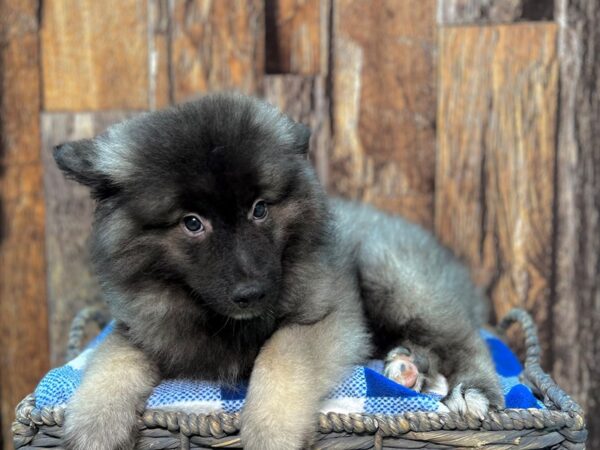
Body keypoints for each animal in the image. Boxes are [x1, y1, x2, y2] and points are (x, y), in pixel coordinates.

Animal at [56, 92, 504, 450]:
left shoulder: (325, 320)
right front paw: (94, 427)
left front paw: (271, 433)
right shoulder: (143, 329)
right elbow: (109, 361)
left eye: (260, 209)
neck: (214, 318)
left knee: (464, 338)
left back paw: (471, 390)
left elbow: (280, 357)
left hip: (392, 274)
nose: (252, 293)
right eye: (192, 223)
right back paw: (408, 369)